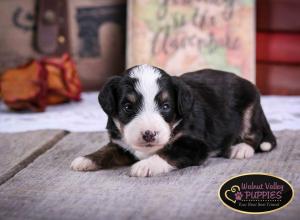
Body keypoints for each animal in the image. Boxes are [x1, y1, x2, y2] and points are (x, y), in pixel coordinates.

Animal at [70, 65, 276, 177]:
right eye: (127, 107)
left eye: (166, 106)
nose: (149, 134)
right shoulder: (121, 144)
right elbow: (107, 151)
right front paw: (85, 159)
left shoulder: (195, 145)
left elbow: (169, 153)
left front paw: (145, 166)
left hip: (250, 109)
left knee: (255, 134)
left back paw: (240, 148)